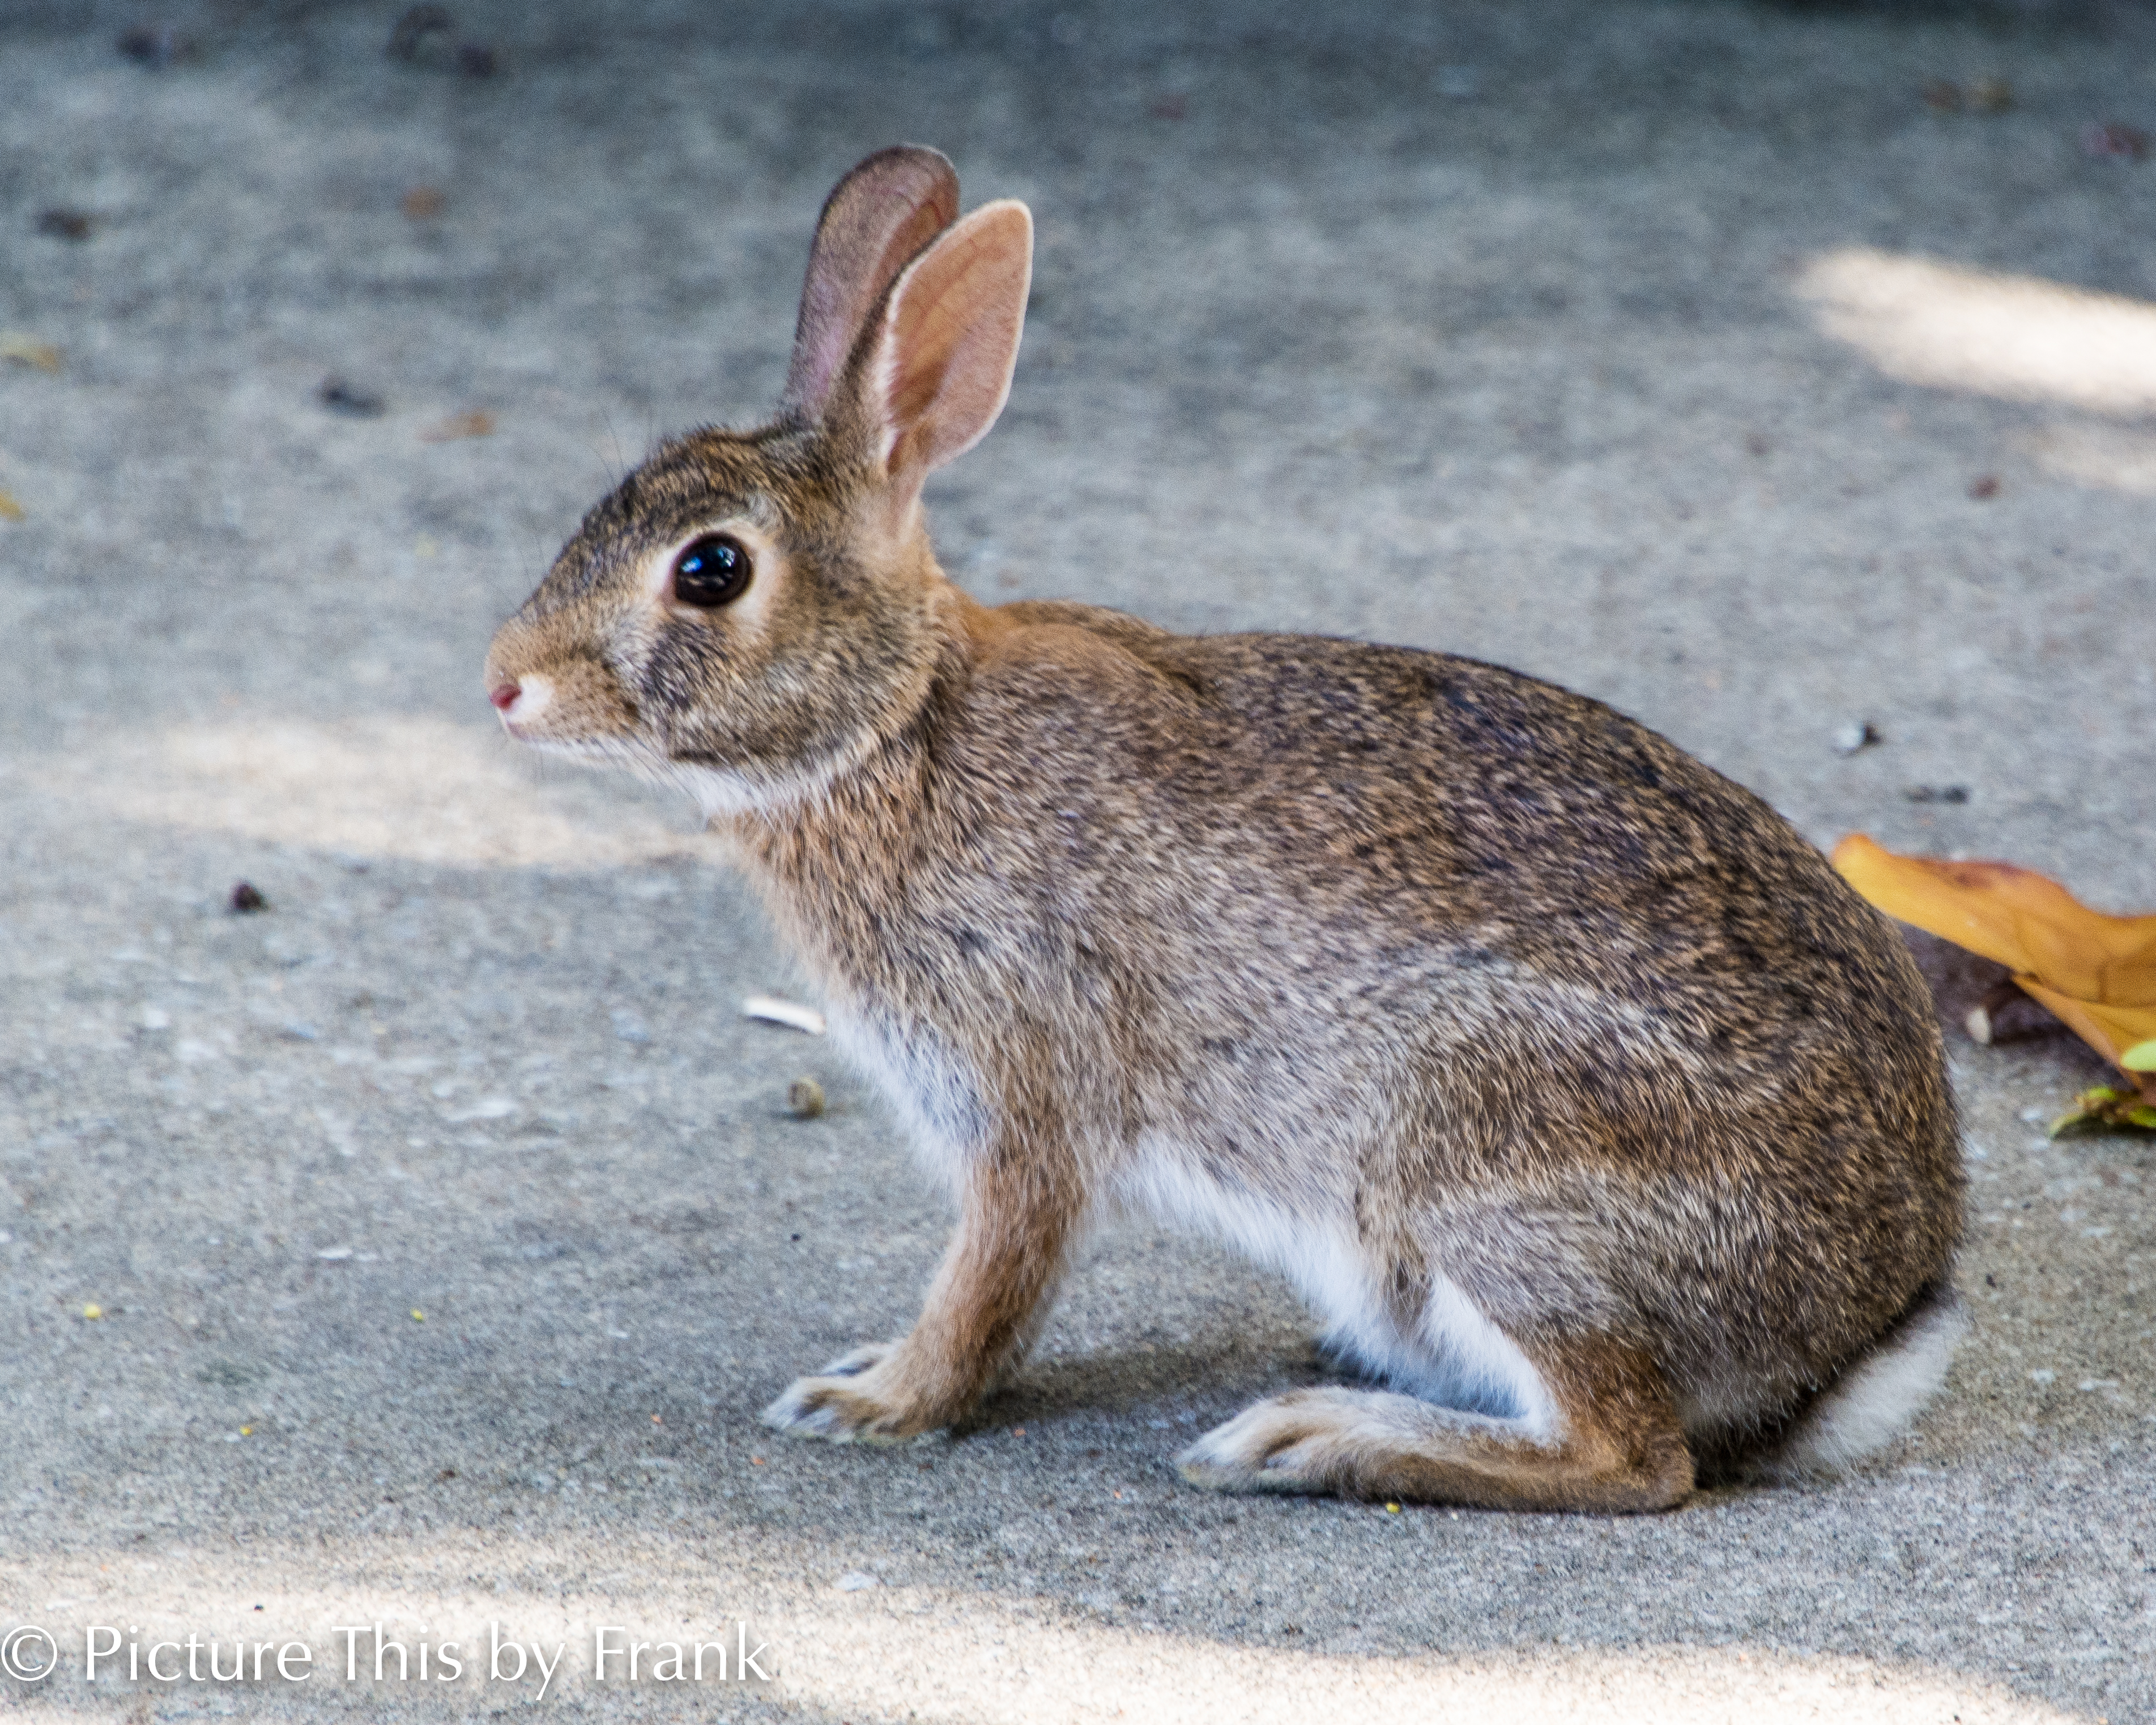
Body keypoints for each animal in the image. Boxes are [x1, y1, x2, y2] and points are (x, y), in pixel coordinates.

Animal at [483, 145, 1965, 1511]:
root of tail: (1858, 1332)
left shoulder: (1019, 1085)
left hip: (1476, 1160)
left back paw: (1313, 1439)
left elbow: (991, 1279)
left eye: (711, 570)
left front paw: (875, 1398)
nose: (504, 685)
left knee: (1631, 1455)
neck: (898, 719)